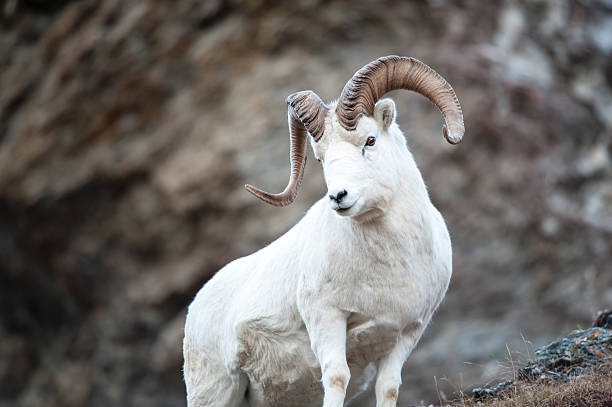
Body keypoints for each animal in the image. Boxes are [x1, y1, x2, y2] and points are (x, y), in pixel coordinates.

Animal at [182, 56, 464, 407]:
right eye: (320, 157)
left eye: (370, 140)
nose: (338, 196)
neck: (390, 267)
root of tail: (196, 305)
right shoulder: (326, 317)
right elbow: (337, 377)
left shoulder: (407, 332)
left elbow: (388, 386)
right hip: (216, 391)